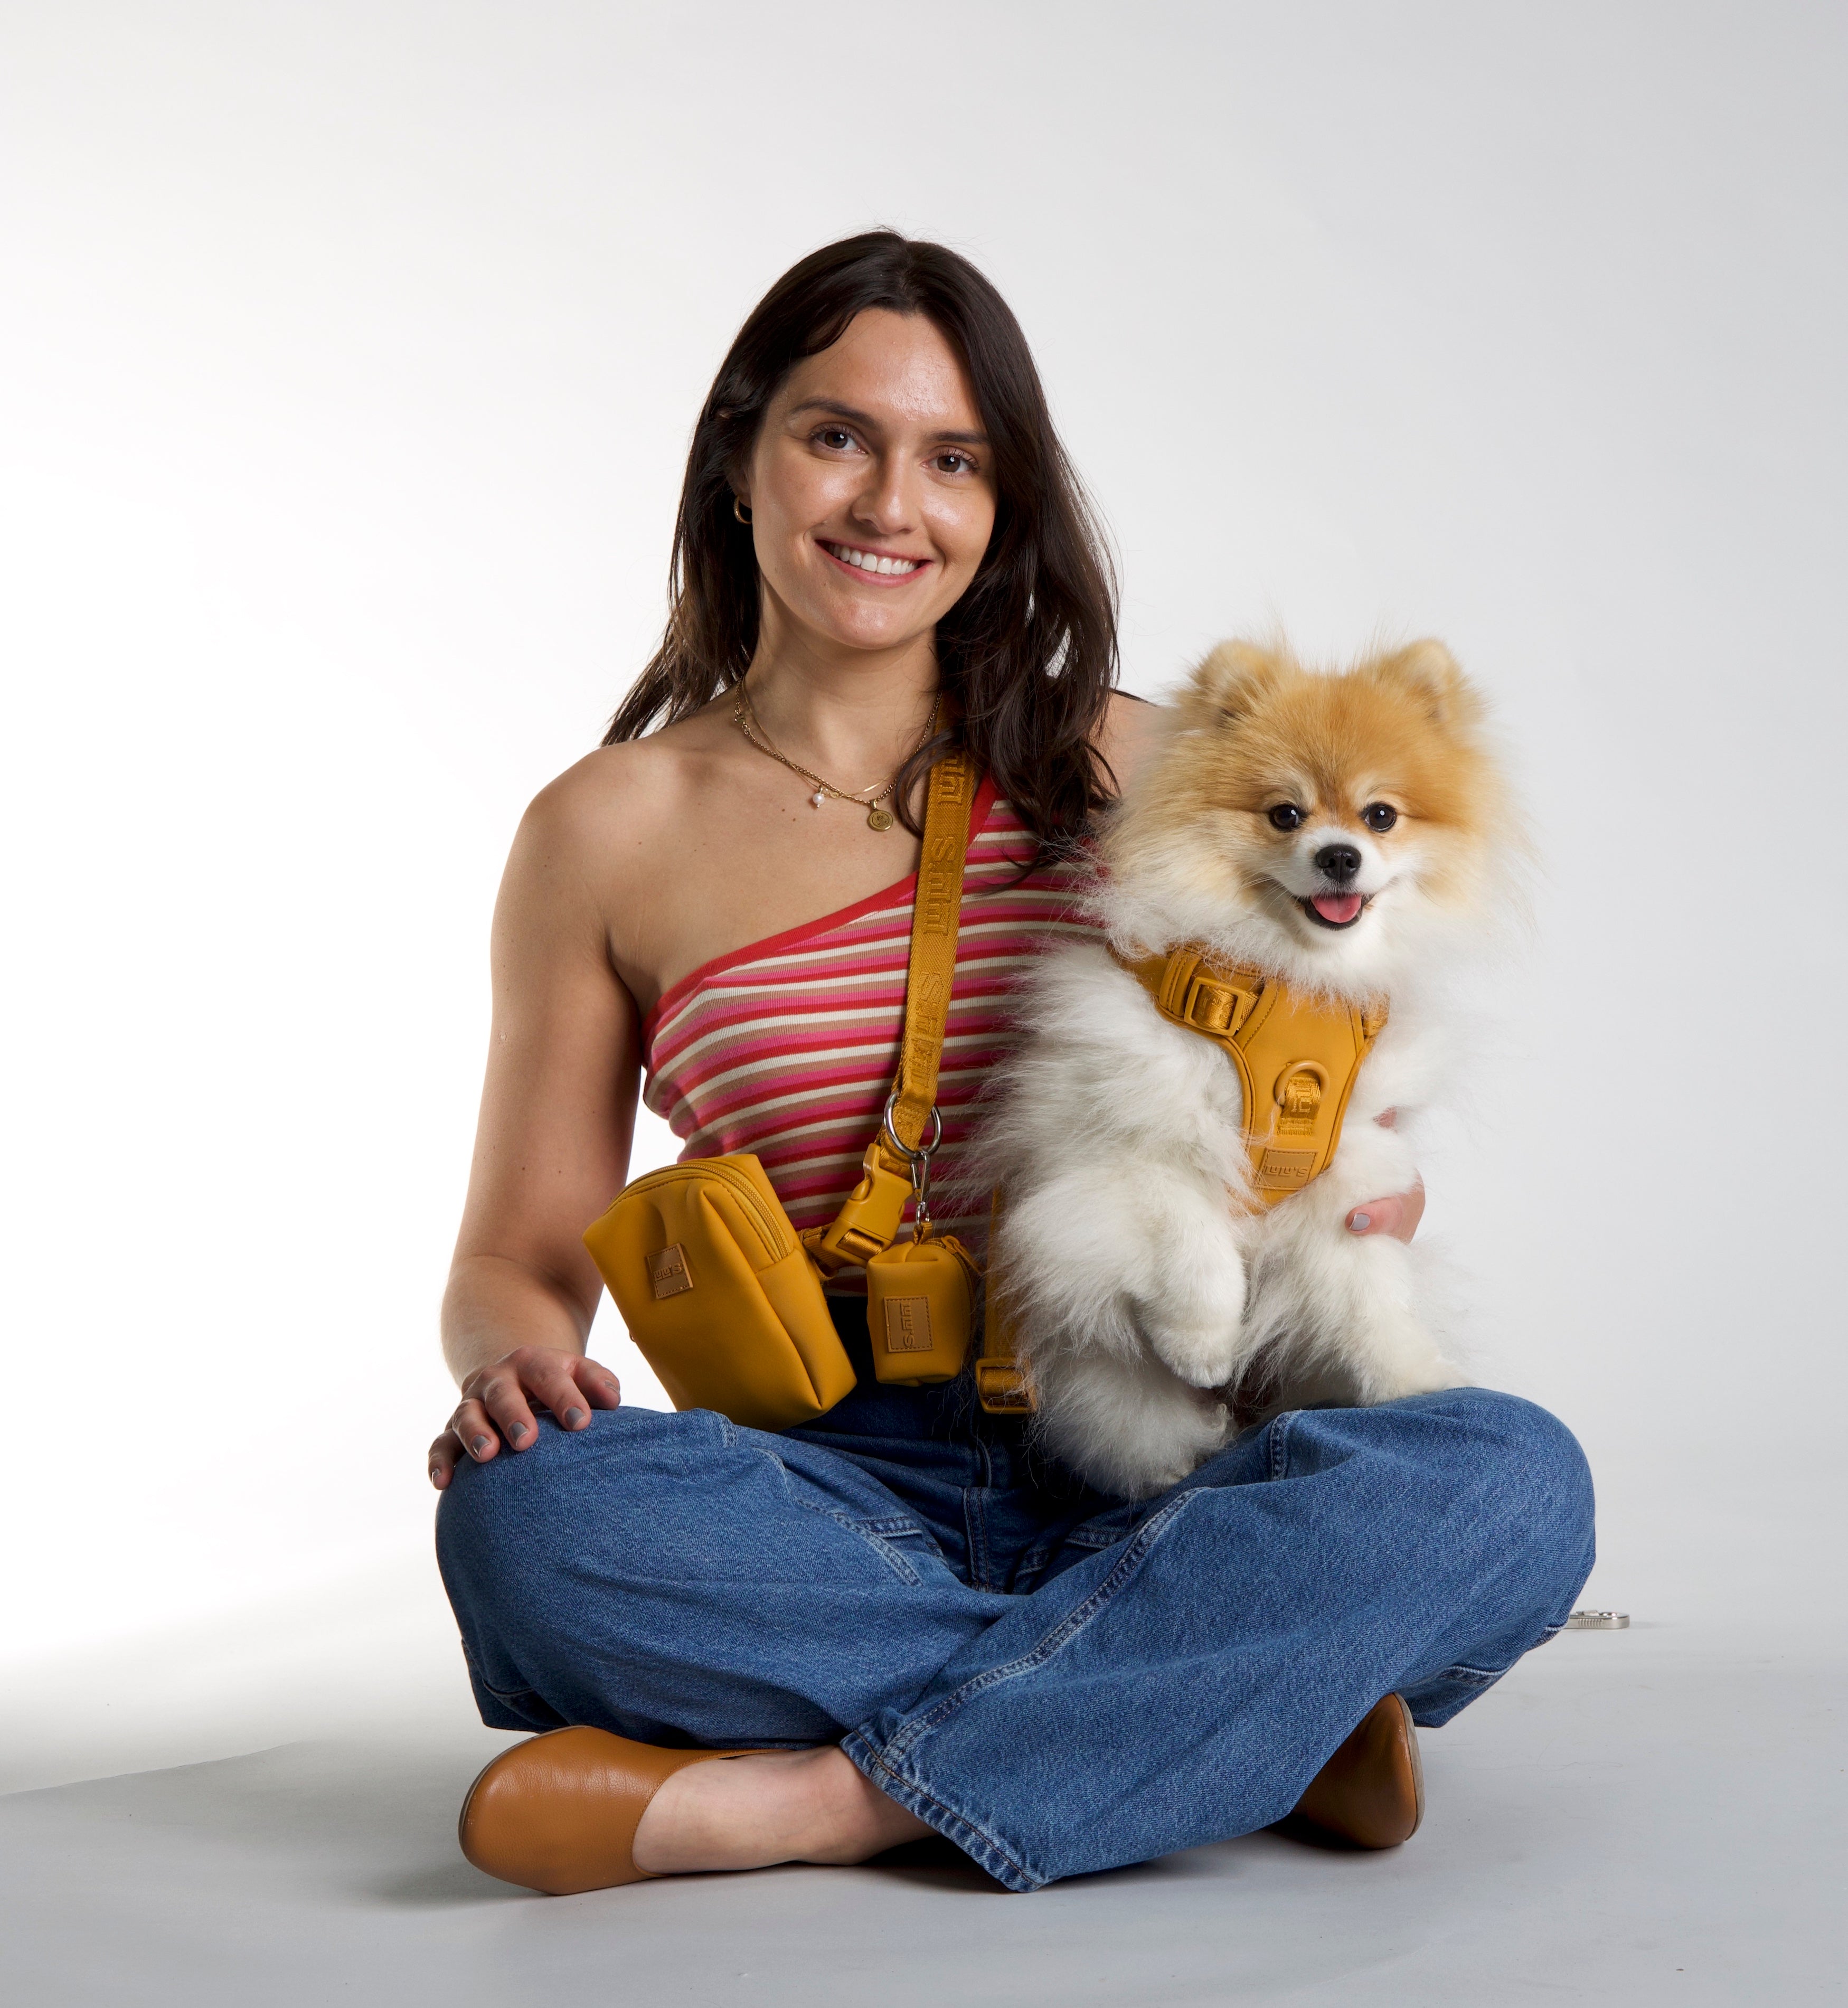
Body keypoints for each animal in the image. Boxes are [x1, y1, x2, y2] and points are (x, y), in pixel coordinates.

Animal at [980, 634, 1519, 1502]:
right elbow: (1193, 1248)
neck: (1292, 989)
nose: (1339, 856)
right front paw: (1202, 1343)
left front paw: (1415, 1380)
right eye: (1284, 813)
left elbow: (1371, 1296)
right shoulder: (1123, 1154)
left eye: (1380, 815)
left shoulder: (1348, 1172)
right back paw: (1172, 1463)